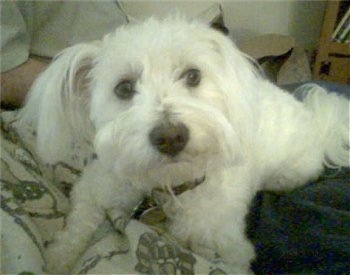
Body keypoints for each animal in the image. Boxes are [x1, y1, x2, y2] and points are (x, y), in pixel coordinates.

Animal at [19, 16, 350, 274]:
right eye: (124, 87)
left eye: (193, 75)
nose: (171, 136)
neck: (165, 185)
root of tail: (316, 116)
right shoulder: (95, 187)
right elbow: (78, 225)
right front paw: (58, 257)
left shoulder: (230, 251)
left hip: (288, 174)